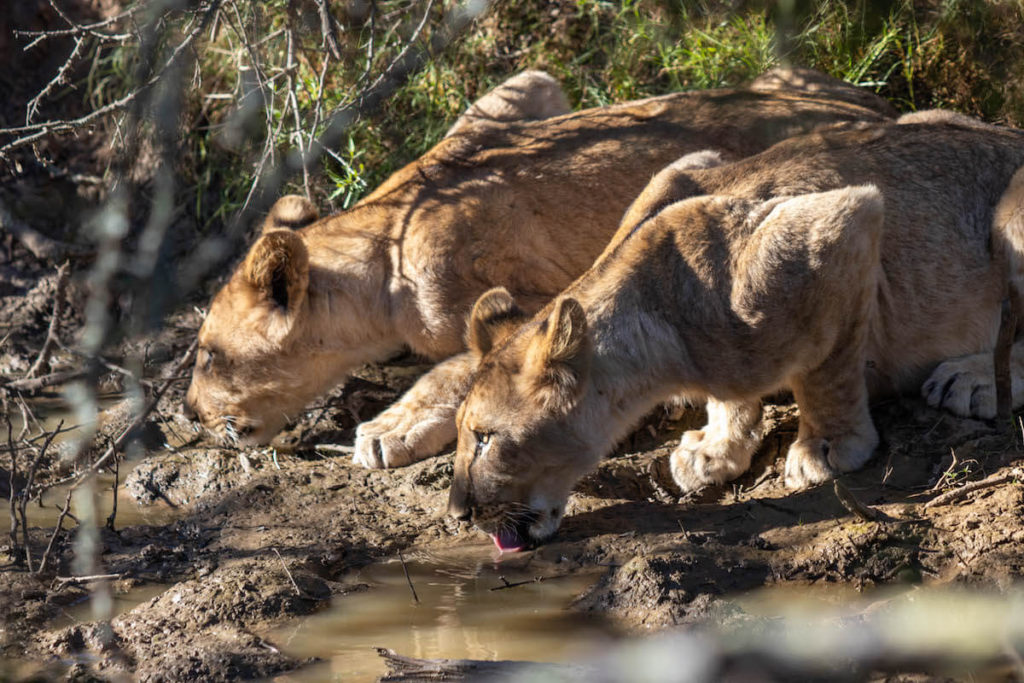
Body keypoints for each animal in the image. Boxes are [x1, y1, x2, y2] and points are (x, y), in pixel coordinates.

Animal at [182, 68, 888, 448]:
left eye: (210, 356)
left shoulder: (534, 293)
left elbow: (457, 366)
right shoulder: (521, 94)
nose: (189, 413)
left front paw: (390, 429)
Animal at [452, 116, 1024, 548]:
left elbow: (827, 373)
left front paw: (826, 447)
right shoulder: (693, 162)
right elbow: (728, 396)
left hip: (1011, 216)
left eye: (486, 439)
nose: (458, 513)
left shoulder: (841, 222)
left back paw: (973, 380)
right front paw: (715, 448)